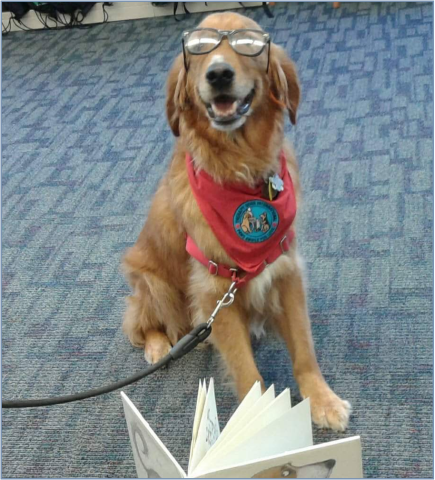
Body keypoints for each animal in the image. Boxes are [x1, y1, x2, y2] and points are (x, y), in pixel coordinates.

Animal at [122, 11, 350, 432]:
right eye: (198, 49)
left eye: (248, 45)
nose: (219, 74)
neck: (241, 171)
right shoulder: (216, 293)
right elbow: (248, 374)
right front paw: (260, 424)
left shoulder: (287, 272)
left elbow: (304, 349)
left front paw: (322, 399)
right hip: (152, 282)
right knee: (142, 323)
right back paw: (158, 345)